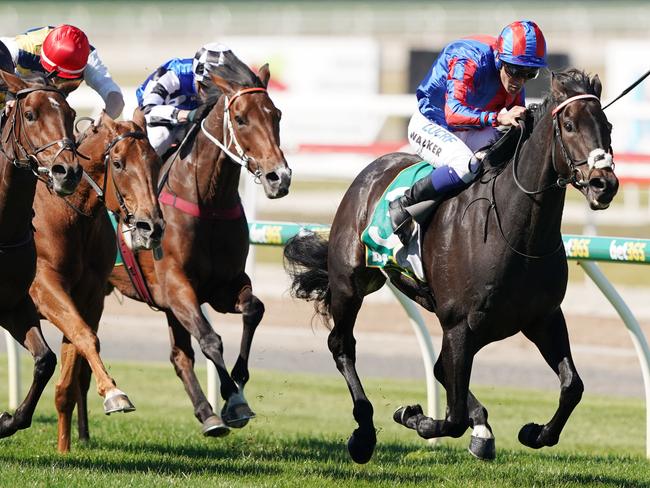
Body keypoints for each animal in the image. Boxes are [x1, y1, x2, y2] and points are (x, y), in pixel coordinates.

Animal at [29, 112, 165, 452]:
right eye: (117, 163)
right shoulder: (44, 287)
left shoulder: (89, 298)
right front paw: (114, 394)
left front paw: (64, 450)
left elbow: (77, 350)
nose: (152, 227)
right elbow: (84, 335)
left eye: (156, 161)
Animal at [98, 55, 288, 436]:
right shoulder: (176, 285)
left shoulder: (223, 285)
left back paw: (205, 410)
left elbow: (253, 309)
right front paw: (235, 401)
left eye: (276, 114)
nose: (280, 177)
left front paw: (234, 393)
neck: (207, 199)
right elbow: (211, 339)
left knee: (179, 355)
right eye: (241, 118)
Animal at [282, 68, 616, 462]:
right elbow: (452, 416)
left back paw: (480, 429)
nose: (604, 184)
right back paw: (363, 434)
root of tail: (374, 168)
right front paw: (415, 417)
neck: (516, 234)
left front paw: (535, 432)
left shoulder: (543, 317)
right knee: (342, 345)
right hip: (350, 282)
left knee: (441, 368)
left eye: (607, 125)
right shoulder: (459, 325)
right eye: (568, 124)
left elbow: (572, 386)